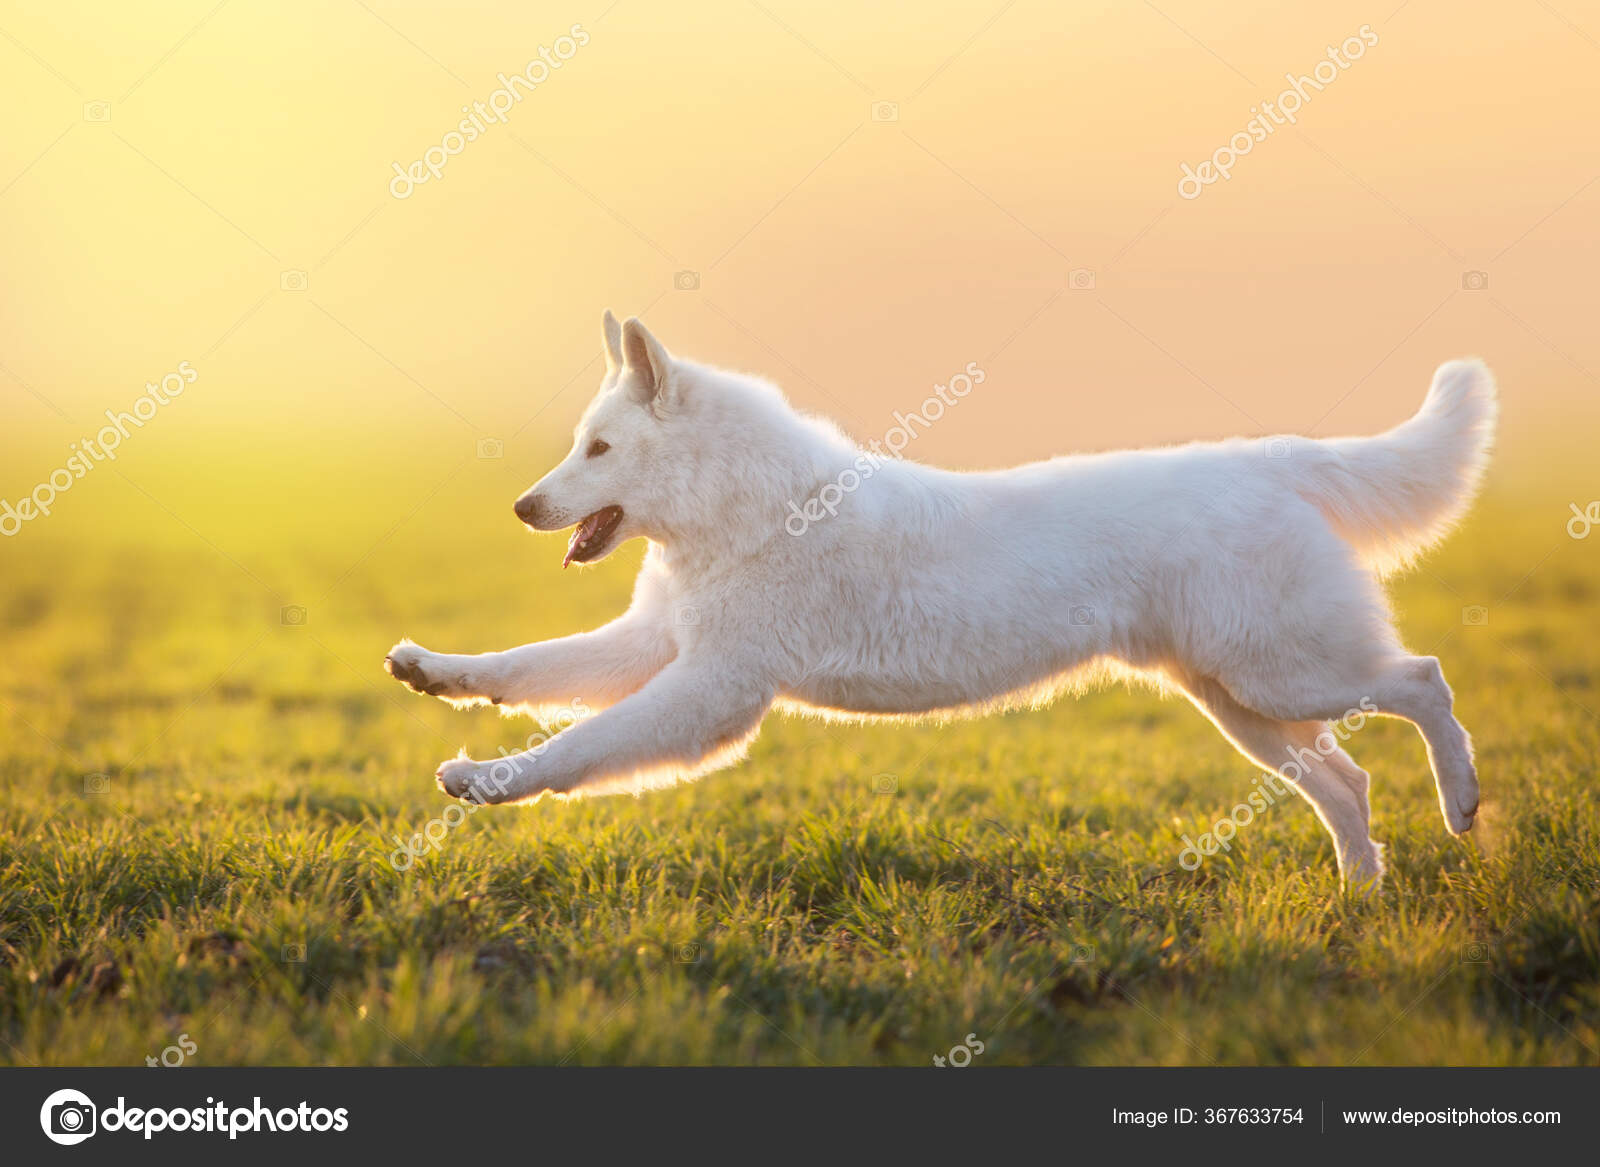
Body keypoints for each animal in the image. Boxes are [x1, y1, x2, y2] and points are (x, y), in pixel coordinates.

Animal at [380, 312, 1491, 890]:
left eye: (599, 449)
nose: (522, 505)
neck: (741, 507)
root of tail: (1271, 460)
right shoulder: (654, 643)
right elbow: (527, 668)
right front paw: (434, 673)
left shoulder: (711, 690)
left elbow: (576, 744)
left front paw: (485, 783)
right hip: (1244, 702)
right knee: (1347, 782)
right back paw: (1360, 893)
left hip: (1287, 670)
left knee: (1426, 682)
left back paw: (1462, 804)